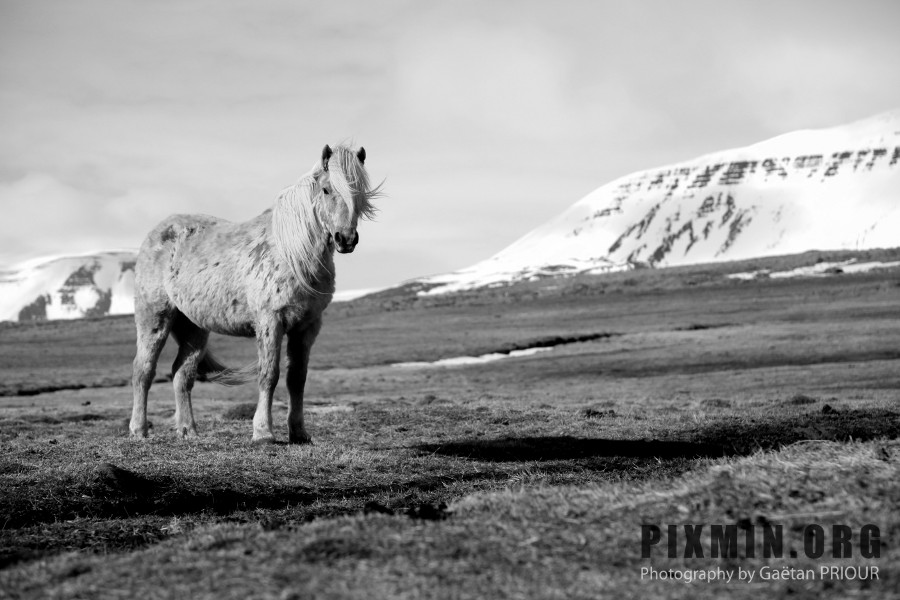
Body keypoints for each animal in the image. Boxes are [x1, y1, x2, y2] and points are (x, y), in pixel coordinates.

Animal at [129, 144, 380, 446]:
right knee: (143, 371)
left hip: (193, 328)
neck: (291, 253)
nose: (346, 239)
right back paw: (138, 430)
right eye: (327, 189)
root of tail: (157, 233)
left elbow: (297, 379)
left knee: (182, 375)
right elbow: (269, 374)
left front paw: (299, 433)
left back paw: (189, 431)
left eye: (359, 191)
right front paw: (263, 432)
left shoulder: (307, 326)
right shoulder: (270, 321)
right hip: (155, 319)